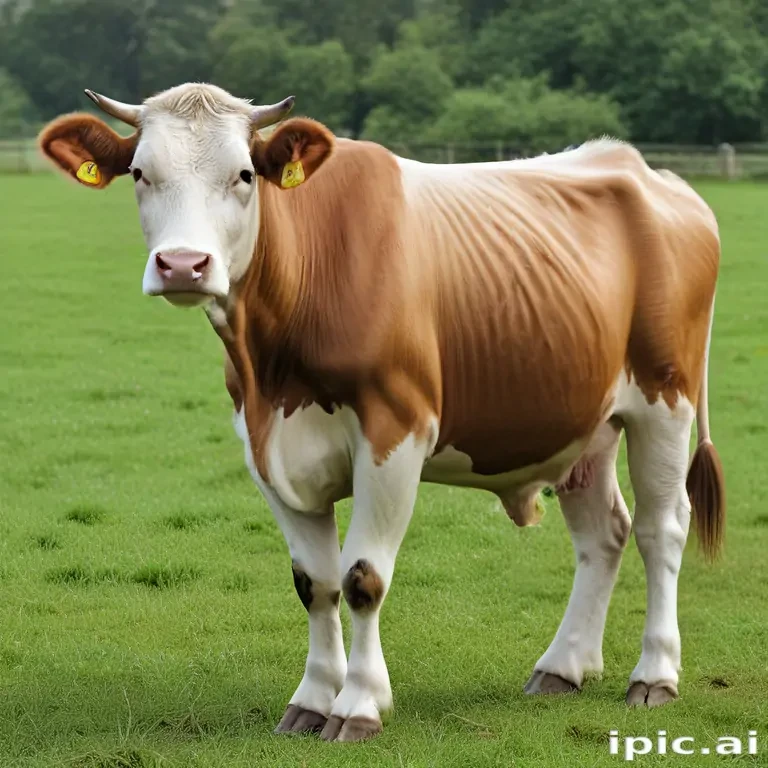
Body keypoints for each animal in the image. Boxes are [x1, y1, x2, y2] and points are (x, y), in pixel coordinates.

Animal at [39, 83, 725, 742]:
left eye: (244, 174)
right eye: (139, 172)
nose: (183, 265)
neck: (276, 364)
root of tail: (650, 173)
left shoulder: (395, 432)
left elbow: (362, 578)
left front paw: (359, 705)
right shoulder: (263, 445)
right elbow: (314, 583)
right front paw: (313, 700)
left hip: (665, 399)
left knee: (661, 529)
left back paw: (654, 674)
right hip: (583, 422)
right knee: (602, 533)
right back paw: (563, 667)